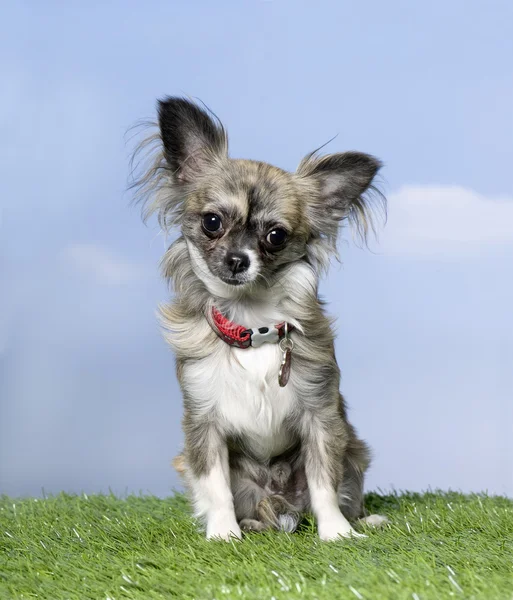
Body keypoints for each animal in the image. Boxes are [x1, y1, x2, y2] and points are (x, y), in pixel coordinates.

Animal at [132, 97, 384, 540]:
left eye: (276, 236)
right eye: (212, 222)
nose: (237, 259)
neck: (253, 324)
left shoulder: (321, 417)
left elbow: (324, 482)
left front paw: (336, 533)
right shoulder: (203, 423)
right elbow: (215, 486)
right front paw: (222, 533)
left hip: (355, 454)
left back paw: (363, 519)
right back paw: (248, 523)